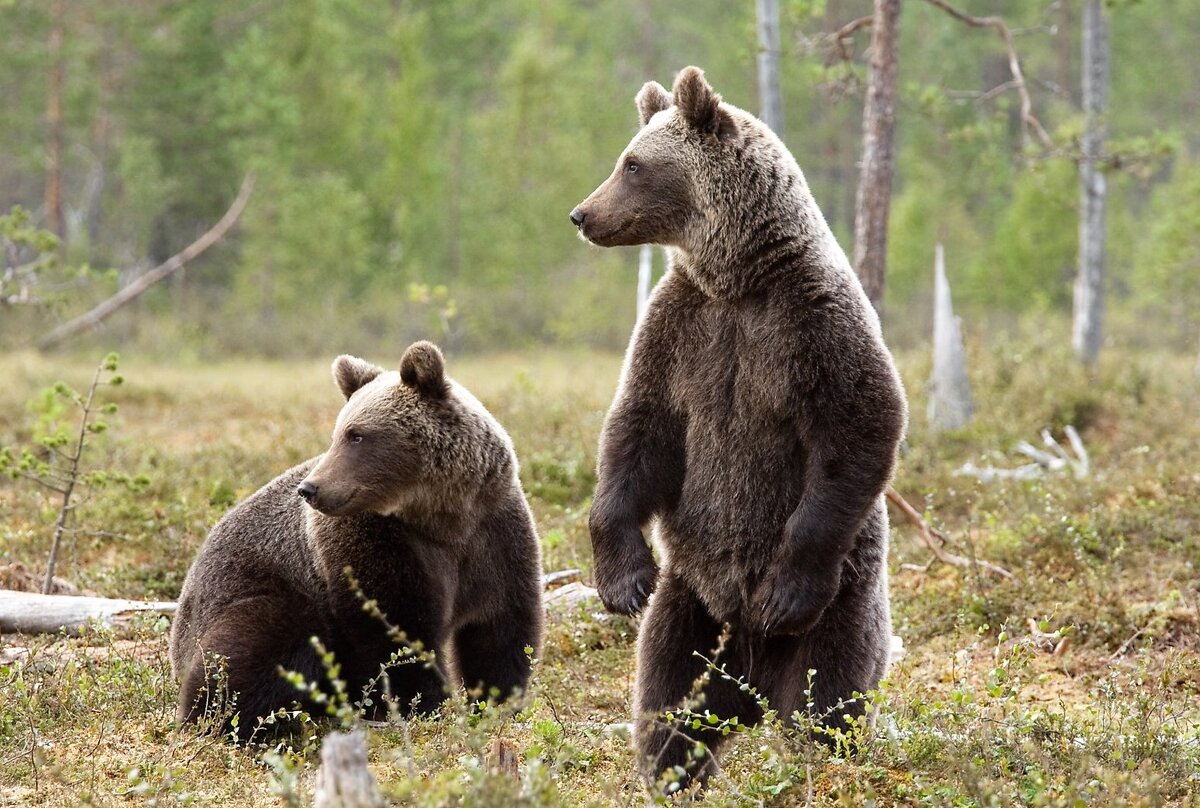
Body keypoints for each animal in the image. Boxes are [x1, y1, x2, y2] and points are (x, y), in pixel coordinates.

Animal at [169, 340, 544, 739]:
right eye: (340, 433)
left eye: (356, 434)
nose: (310, 489)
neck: (441, 517)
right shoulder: (374, 543)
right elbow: (393, 629)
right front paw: (423, 705)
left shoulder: (492, 533)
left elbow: (499, 628)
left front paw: (495, 702)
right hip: (253, 590)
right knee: (258, 644)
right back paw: (224, 719)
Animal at [566, 67, 902, 787]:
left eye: (632, 163)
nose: (582, 214)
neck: (738, 278)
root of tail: (750, 690)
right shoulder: (680, 329)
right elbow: (639, 431)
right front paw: (622, 579)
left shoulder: (811, 323)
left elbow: (858, 426)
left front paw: (785, 588)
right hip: (689, 607)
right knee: (667, 701)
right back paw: (671, 770)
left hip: (844, 607)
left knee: (825, 701)